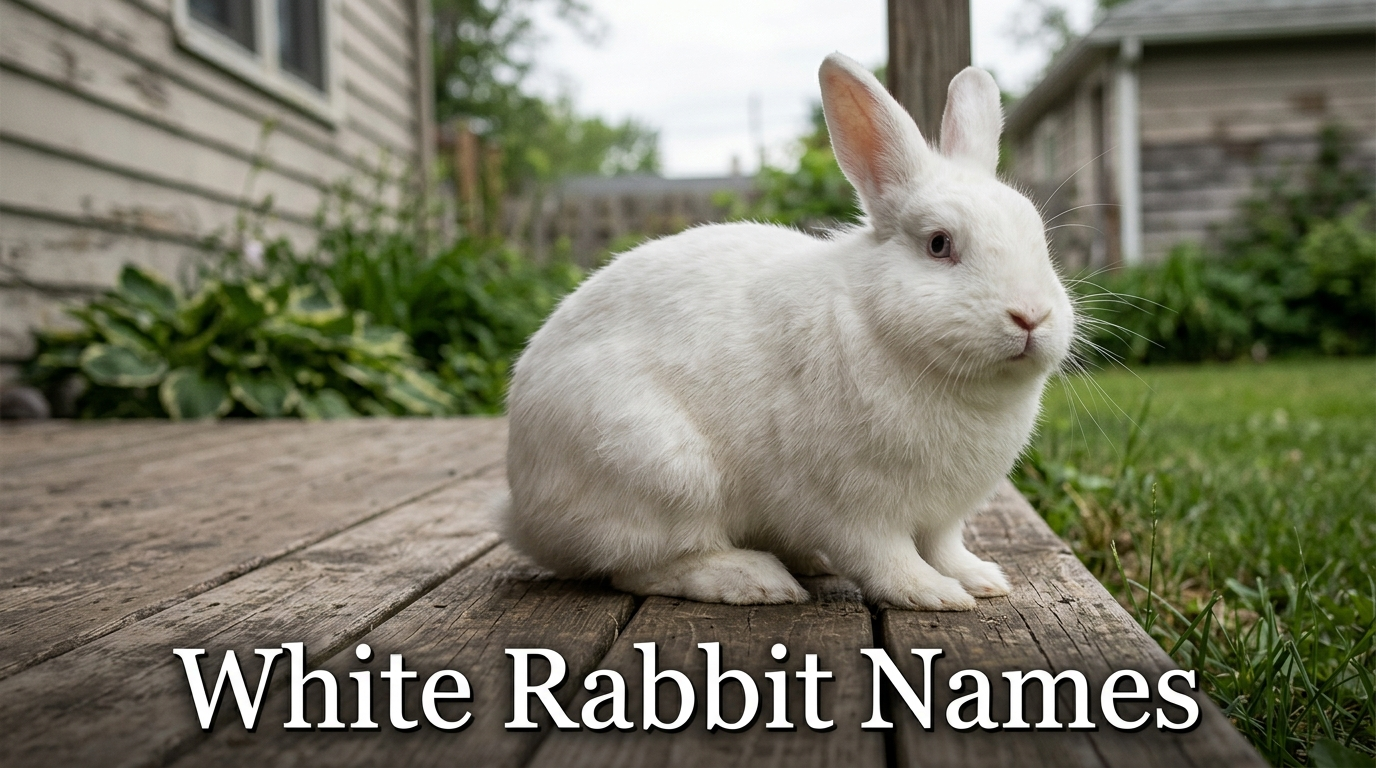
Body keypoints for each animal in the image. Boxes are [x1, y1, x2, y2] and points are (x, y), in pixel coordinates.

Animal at [500, 52, 1074, 610]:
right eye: (939, 244)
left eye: (1038, 239)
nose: (1031, 316)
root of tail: (522, 513)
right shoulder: (856, 506)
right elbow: (886, 558)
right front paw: (933, 594)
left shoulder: (944, 516)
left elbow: (945, 548)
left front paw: (981, 580)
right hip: (660, 471)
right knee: (641, 567)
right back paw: (754, 580)